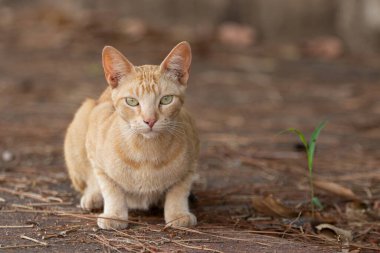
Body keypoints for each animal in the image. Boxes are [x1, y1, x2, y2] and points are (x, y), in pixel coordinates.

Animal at [63, 41, 199, 229]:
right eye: (132, 101)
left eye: (166, 100)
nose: (150, 120)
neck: (147, 154)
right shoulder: (96, 153)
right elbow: (110, 188)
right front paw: (114, 214)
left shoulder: (191, 162)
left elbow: (179, 190)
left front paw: (178, 213)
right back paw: (93, 197)